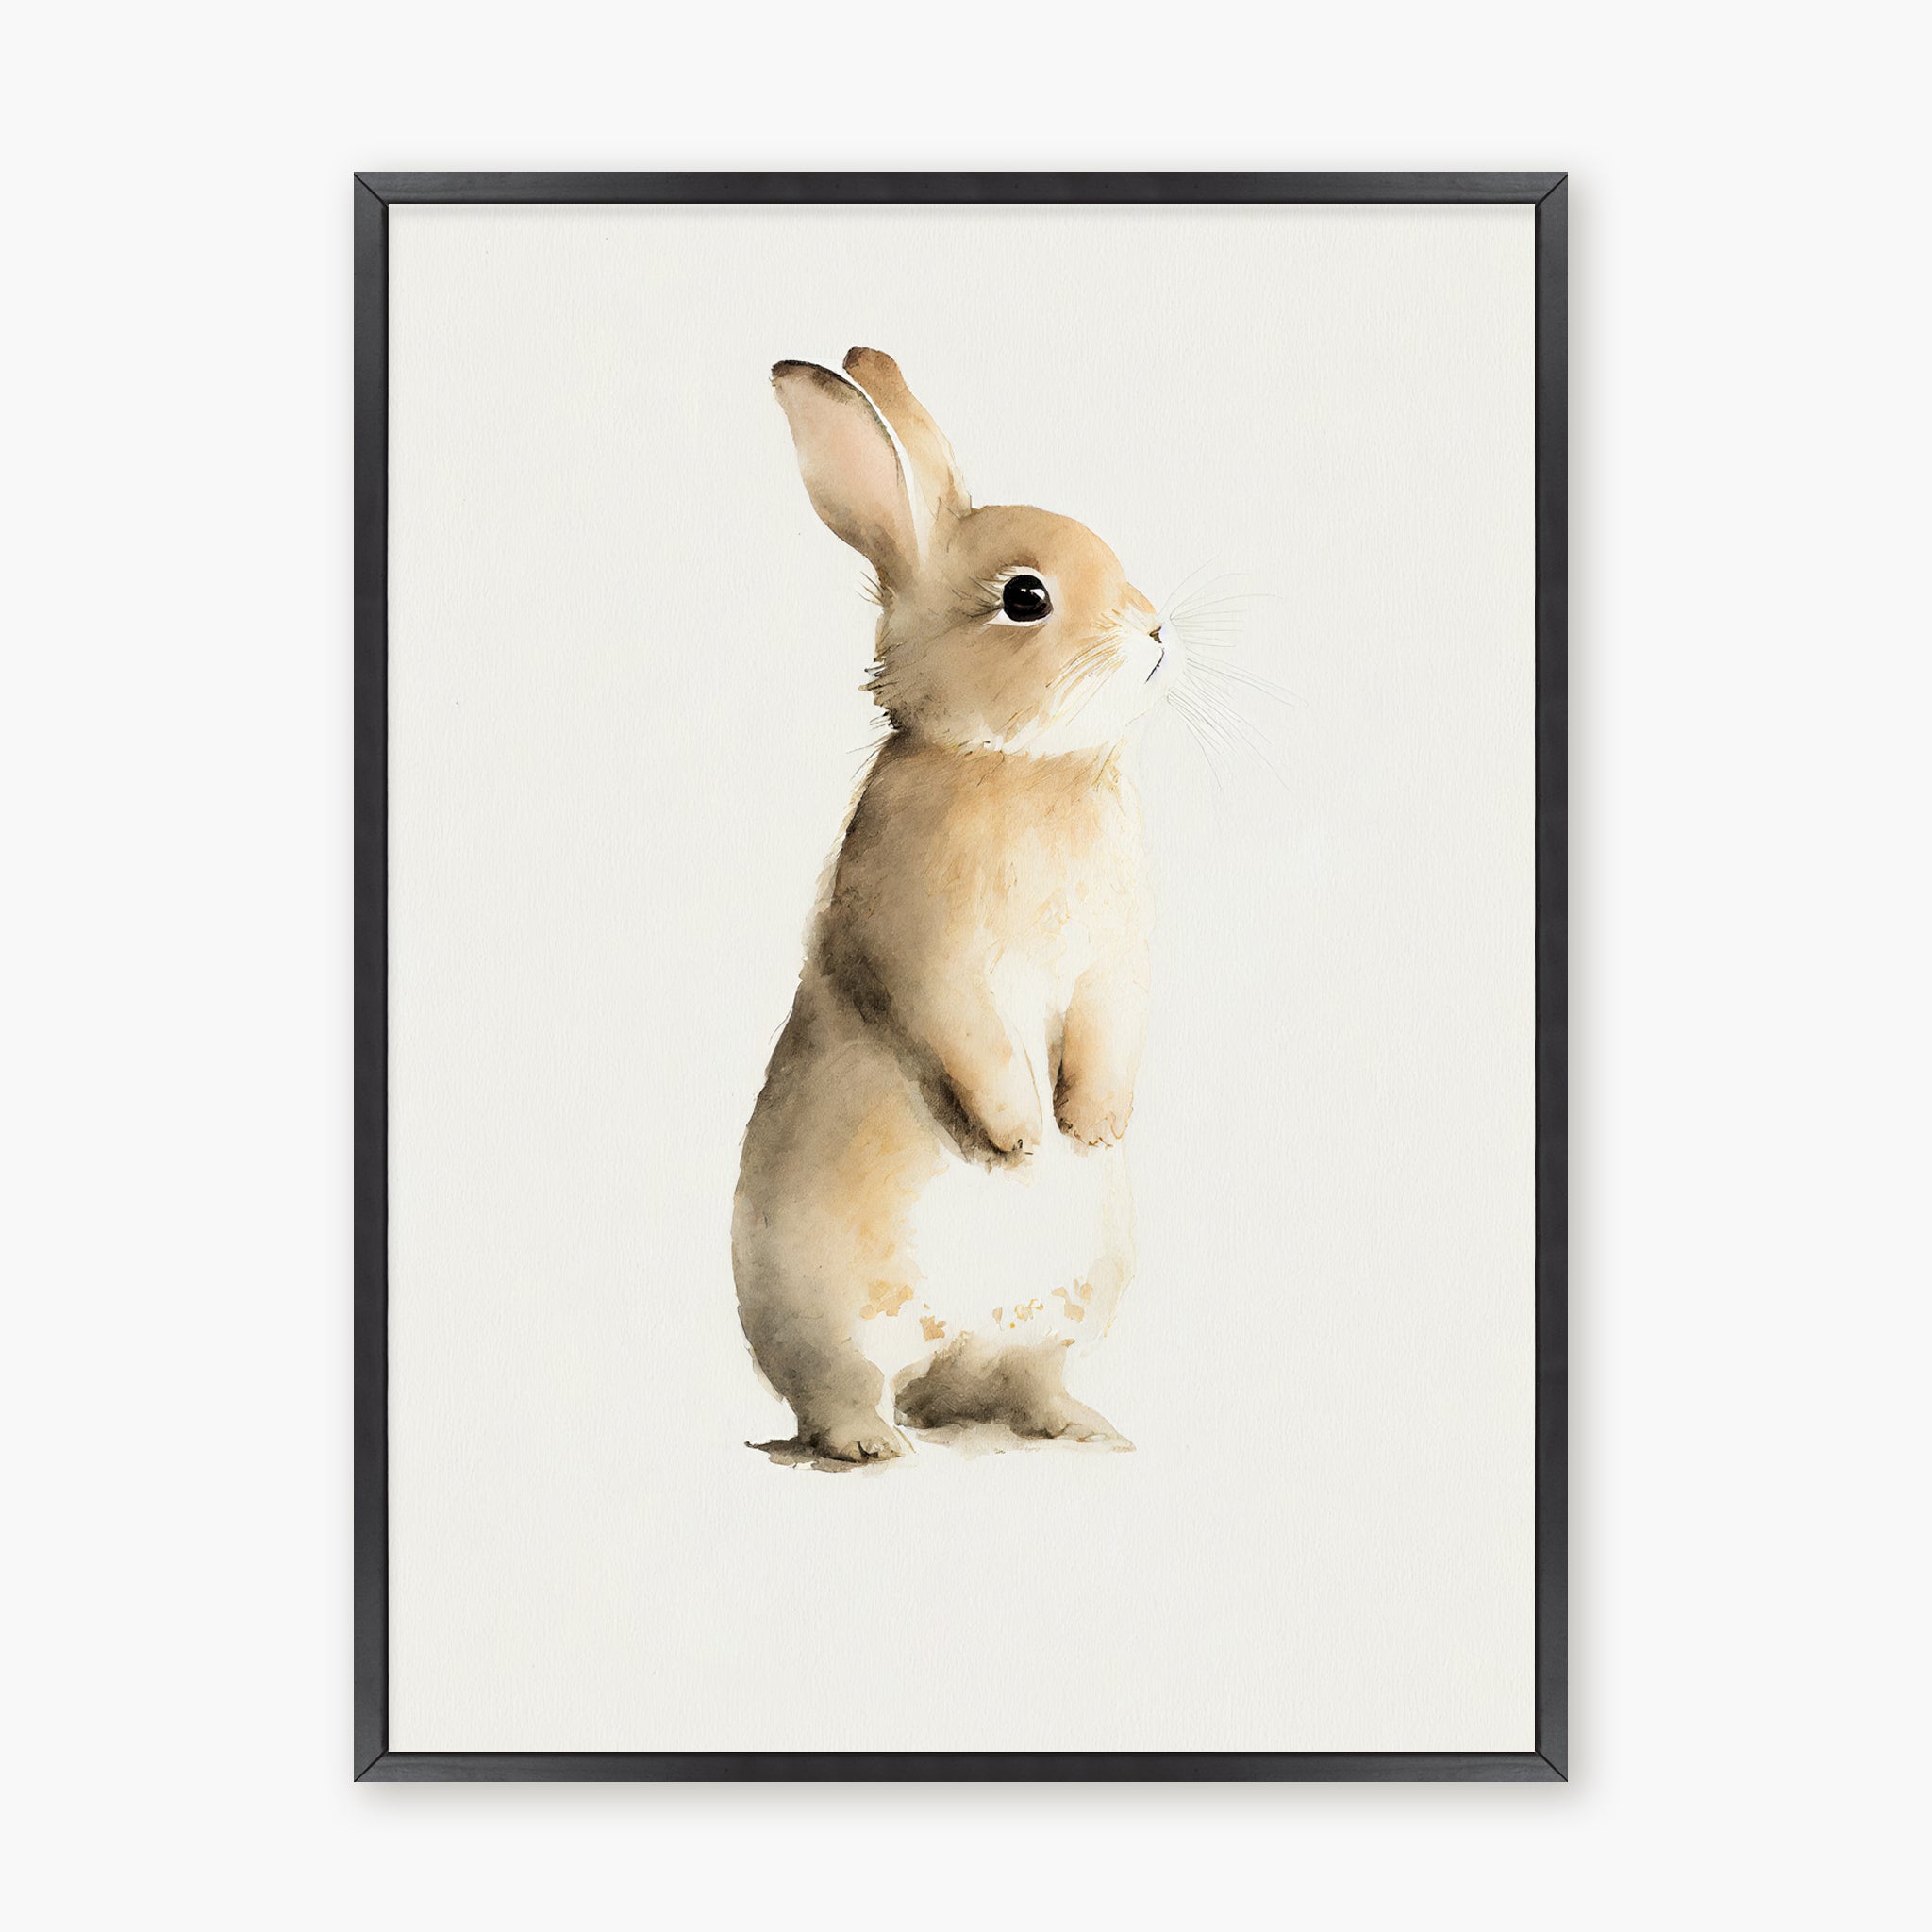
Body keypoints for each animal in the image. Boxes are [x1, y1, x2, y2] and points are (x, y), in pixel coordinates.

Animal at [734, 348, 1179, 1464]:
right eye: (1025, 597)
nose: (1157, 631)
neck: (1016, 764)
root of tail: (945, 1357)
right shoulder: (926, 953)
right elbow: (964, 1033)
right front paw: (1020, 1137)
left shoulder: (1116, 961)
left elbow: (1111, 1026)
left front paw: (1091, 1127)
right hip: (832, 1309)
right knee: (844, 1388)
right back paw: (871, 1446)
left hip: (1066, 1309)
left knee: (1020, 1380)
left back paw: (1084, 1428)